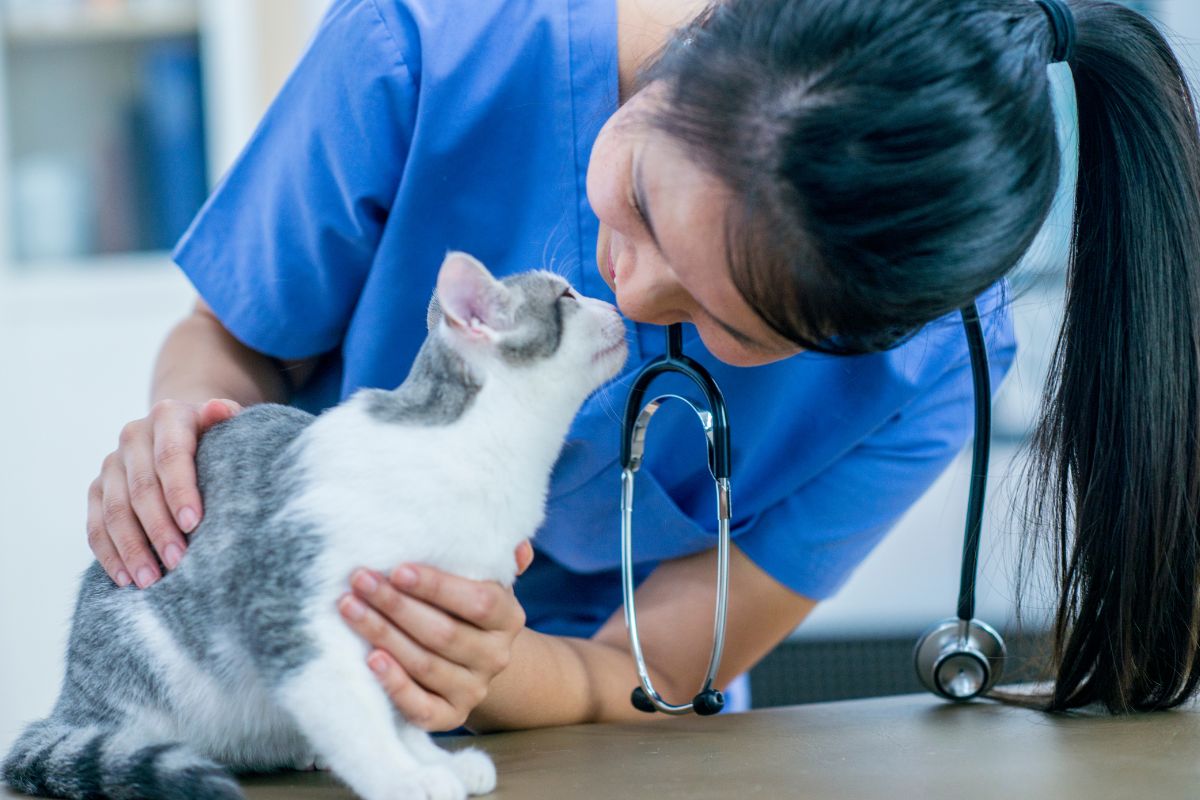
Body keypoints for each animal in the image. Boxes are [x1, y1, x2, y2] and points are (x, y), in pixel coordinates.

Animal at [0, 253, 633, 800]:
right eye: (567, 296)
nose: (612, 300)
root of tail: (73, 700)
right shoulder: (291, 606)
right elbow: (357, 710)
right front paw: (401, 776)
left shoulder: (402, 631)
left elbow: (399, 709)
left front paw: (428, 758)